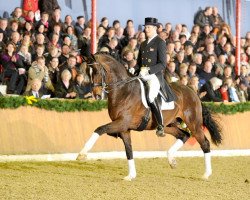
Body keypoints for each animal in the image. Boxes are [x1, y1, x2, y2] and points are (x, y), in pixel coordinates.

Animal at [76, 53, 223, 181]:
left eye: (96, 71)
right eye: (87, 73)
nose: (96, 95)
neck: (124, 91)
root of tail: (192, 91)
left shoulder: (122, 123)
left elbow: (99, 129)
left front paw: (82, 154)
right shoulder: (124, 129)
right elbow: (129, 150)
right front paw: (131, 176)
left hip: (194, 124)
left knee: (204, 143)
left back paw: (206, 174)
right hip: (167, 125)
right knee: (183, 135)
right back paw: (172, 160)